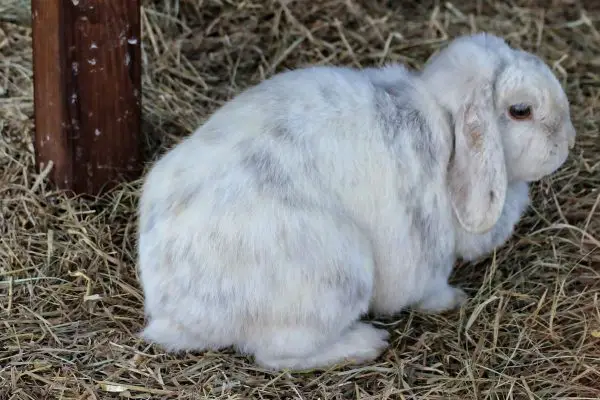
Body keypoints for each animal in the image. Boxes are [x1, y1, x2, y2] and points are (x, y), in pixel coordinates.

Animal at [137, 32, 576, 370]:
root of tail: (172, 308)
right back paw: (366, 343)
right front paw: (453, 301)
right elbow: (431, 289)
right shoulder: (427, 254)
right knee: (277, 354)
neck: (444, 122)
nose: (568, 140)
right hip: (338, 274)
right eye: (521, 110)